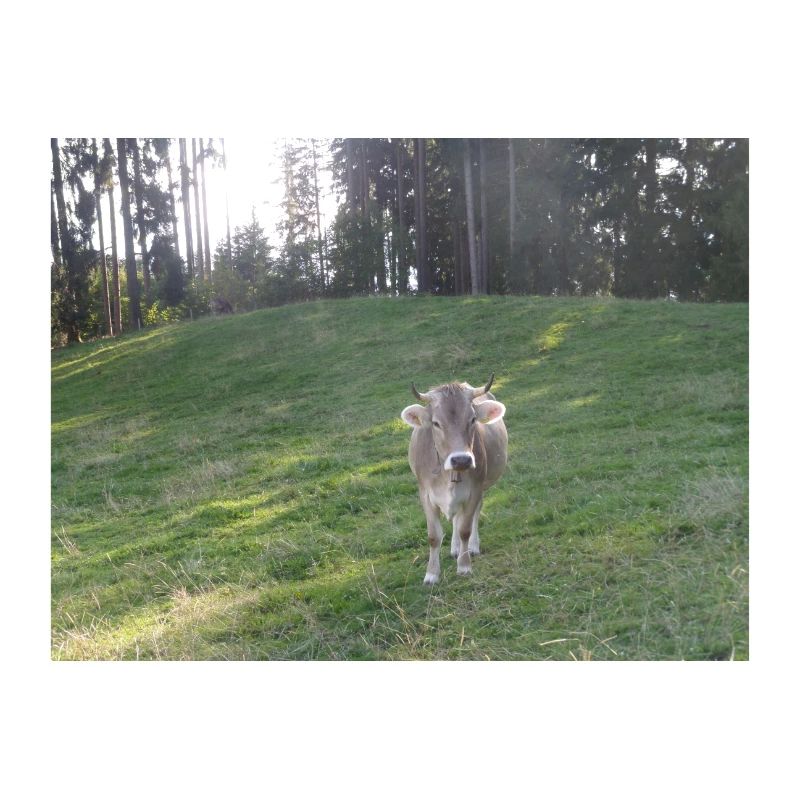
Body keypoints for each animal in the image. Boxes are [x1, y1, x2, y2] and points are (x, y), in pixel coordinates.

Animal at [400, 374, 508, 585]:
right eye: (436, 423)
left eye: (473, 419)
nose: (461, 459)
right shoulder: (425, 495)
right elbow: (434, 536)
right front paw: (431, 574)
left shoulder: (474, 490)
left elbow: (465, 529)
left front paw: (464, 566)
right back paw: (455, 548)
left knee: (472, 516)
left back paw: (470, 547)